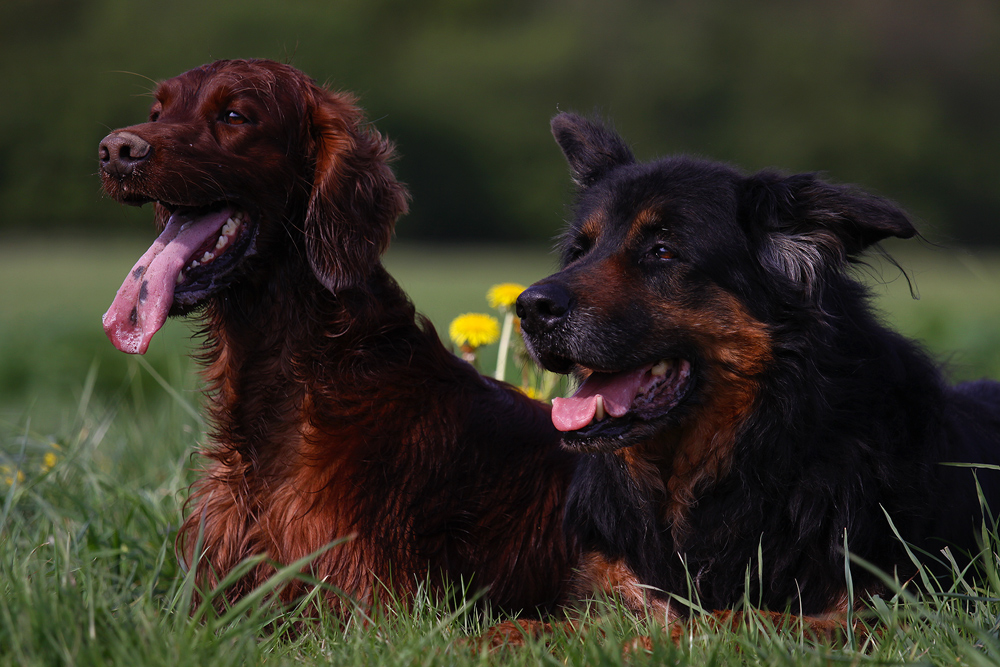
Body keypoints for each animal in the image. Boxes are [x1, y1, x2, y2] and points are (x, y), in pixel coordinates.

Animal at [516, 113, 1000, 628]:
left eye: (662, 251)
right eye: (578, 251)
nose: (529, 308)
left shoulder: (872, 608)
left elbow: (731, 618)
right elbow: (523, 625)